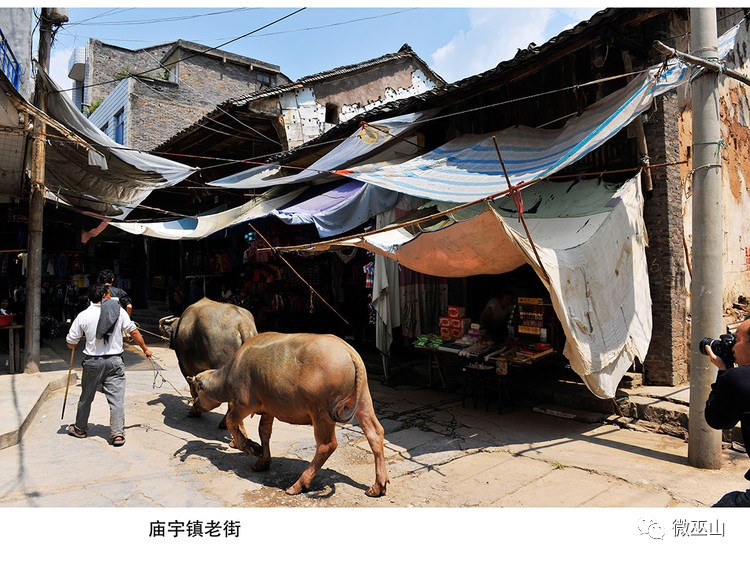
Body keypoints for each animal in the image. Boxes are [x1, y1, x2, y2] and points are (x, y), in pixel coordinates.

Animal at [188, 330, 390, 496]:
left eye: (198, 389)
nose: (195, 403)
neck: (231, 373)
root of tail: (348, 351)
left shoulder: (243, 405)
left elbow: (231, 422)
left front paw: (249, 446)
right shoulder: (268, 408)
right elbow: (264, 432)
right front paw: (262, 461)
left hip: (321, 413)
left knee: (327, 445)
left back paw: (299, 484)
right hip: (363, 400)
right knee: (375, 433)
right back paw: (378, 486)